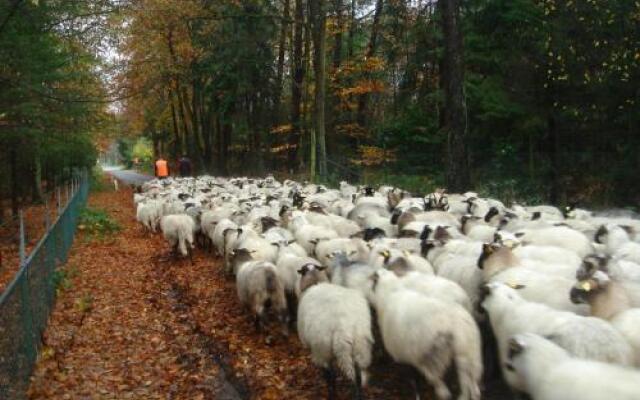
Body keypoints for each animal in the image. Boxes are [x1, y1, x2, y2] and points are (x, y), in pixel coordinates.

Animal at [370, 268, 480, 400]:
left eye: (373, 282)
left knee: (440, 379)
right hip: (468, 349)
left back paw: (444, 392)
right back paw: (474, 392)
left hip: (433, 352)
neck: (389, 292)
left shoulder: (413, 352)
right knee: (471, 376)